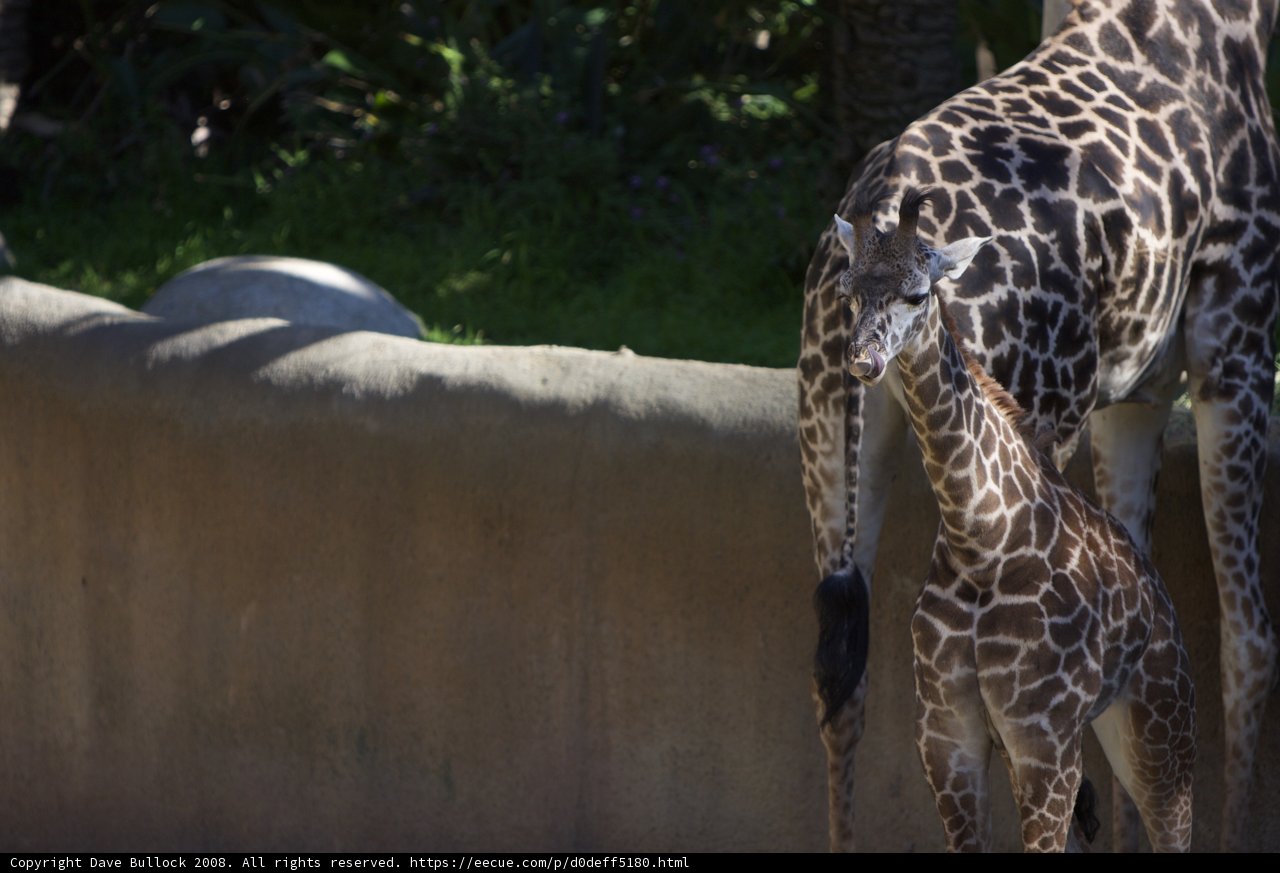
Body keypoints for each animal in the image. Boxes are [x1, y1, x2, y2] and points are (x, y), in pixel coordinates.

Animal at [832, 190, 1196, 852]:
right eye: (848, 290)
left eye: (916, 294)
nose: (862, 360)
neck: (984, 542)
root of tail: (1161, 601)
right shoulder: (947, 737)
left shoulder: (1042, 741)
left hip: (1161, 731)